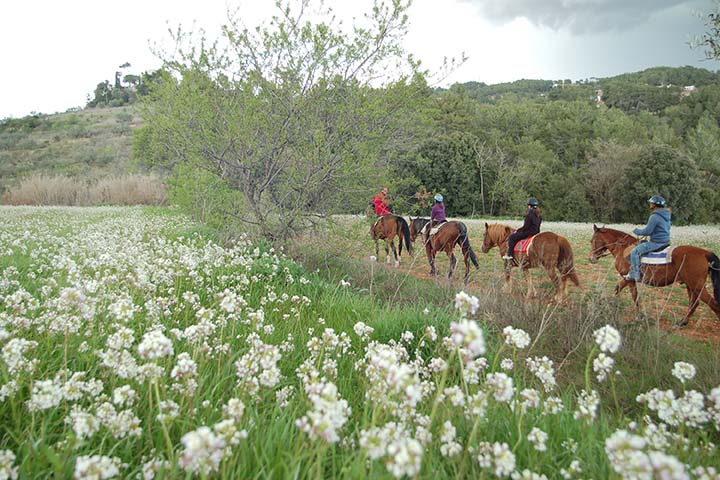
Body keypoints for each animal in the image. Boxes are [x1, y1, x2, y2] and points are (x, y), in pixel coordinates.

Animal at [588, 226, 720, 326]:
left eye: (593, 240)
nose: (591, 258)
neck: (624, 249)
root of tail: (704, 252)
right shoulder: (629, 280)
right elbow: (626, 292)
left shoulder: (629, 279)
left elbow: (630, 295)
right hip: (691, 286)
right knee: (694, 303)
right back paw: (682, 322)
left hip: (697, 286)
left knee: (713, 305)